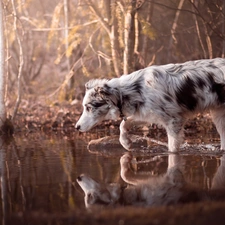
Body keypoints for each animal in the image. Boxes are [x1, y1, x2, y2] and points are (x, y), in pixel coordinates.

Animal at [75, 59, 225, 152]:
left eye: (89, 108)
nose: (76, 127)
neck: (133, 91)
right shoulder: (147, 114)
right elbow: (123, 124)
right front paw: (126, 143)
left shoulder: (174, 121)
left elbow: (172, 149)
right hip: (219, 116)